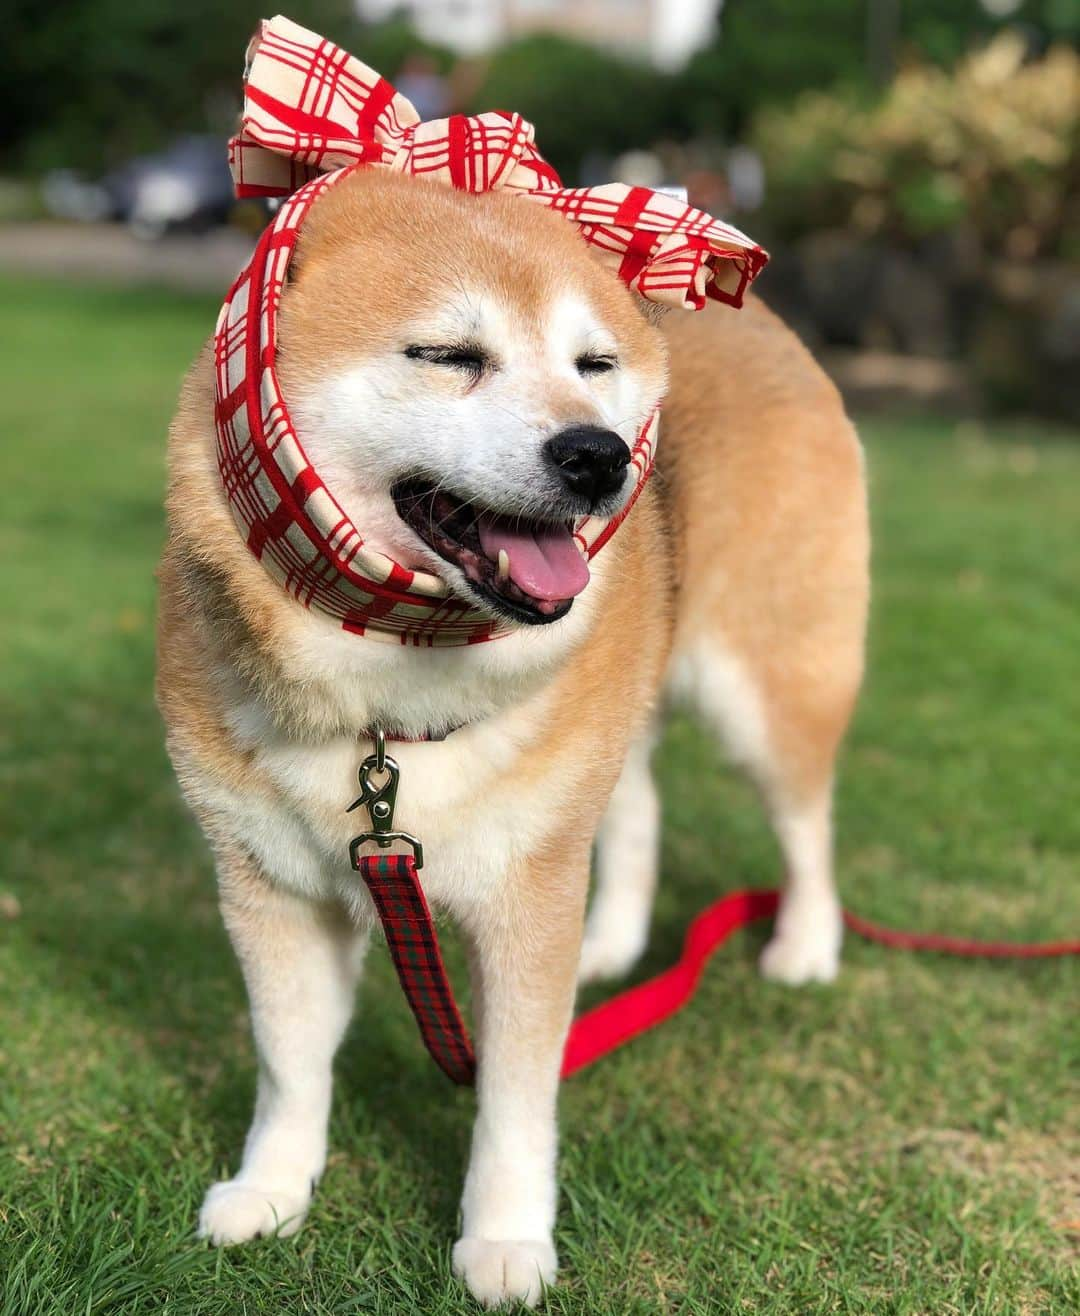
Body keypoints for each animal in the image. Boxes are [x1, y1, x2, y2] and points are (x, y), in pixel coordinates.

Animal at [155, 164, 868, 1305]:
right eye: (449, 354)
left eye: (593, 365)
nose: (598, 455)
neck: (389, 693)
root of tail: (765, 325)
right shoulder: (271, 883)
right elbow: (288, 1063)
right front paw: (271, 1188)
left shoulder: (525, 899)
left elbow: (514, 1098)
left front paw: (503, 1238)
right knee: (636, 805)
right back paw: (614, 941)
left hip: (767, 688)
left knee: (807, 824)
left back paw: (804, 943)